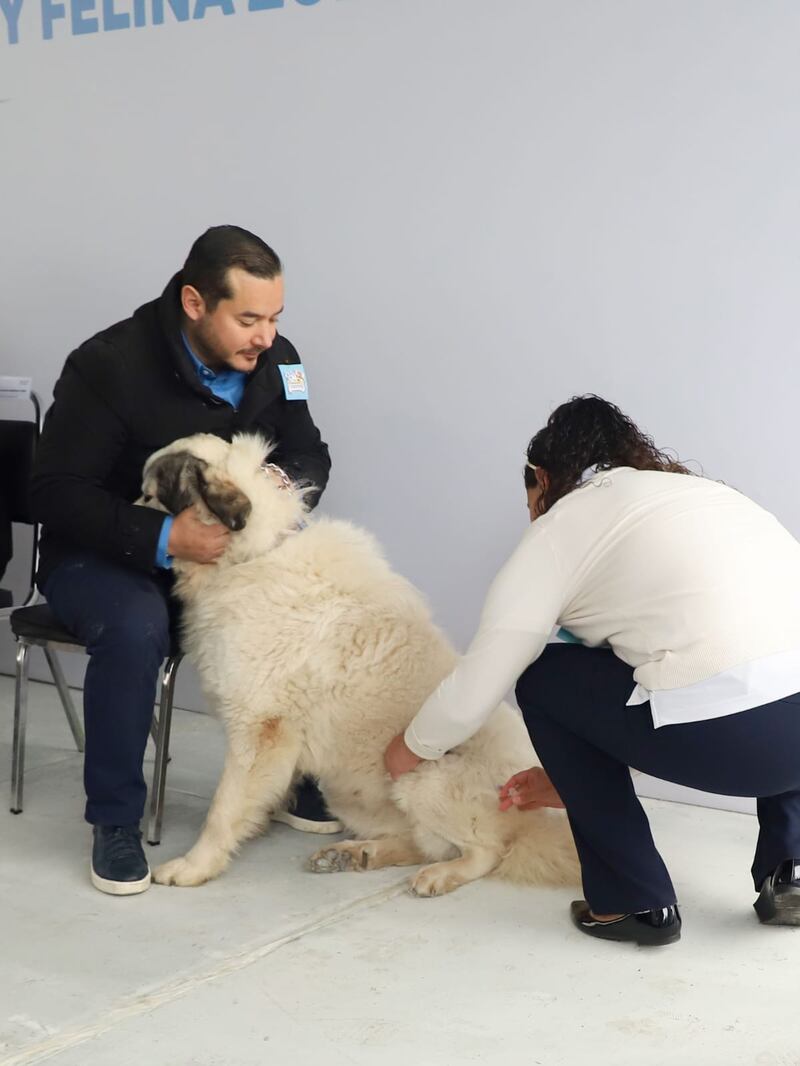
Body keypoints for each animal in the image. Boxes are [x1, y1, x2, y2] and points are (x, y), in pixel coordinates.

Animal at [140, 428, 580, 895]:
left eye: (148, 494)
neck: (250, 554)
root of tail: (535, 815)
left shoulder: (257, 729)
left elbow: (222, 810)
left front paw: (195, 865)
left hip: (423, 777)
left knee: (488, 851)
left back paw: (439, 875)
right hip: (344, 788)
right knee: (421, 842)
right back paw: (355, 854)